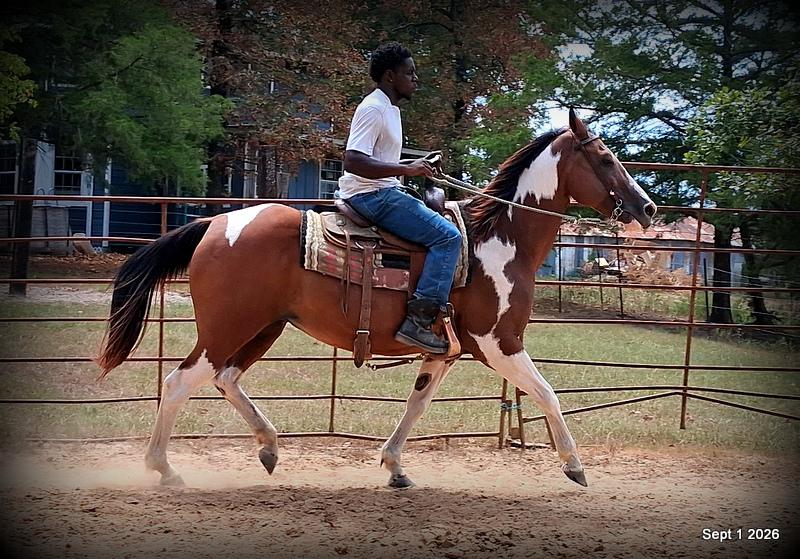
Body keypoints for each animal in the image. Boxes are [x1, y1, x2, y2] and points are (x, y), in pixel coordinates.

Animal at [97, 110, 656, 488]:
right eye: (605, 158)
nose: (647, 207)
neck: (498, 243)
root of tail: (216, 223)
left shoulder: (445, 353)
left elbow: (418, 404)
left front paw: (394, 466)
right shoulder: (499, 343)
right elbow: (547, 394)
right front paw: (575, 466)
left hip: (264, 327)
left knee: (225, 378)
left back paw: (269, 449)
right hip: (227, 327)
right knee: (180, 382)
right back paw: (164, 469)